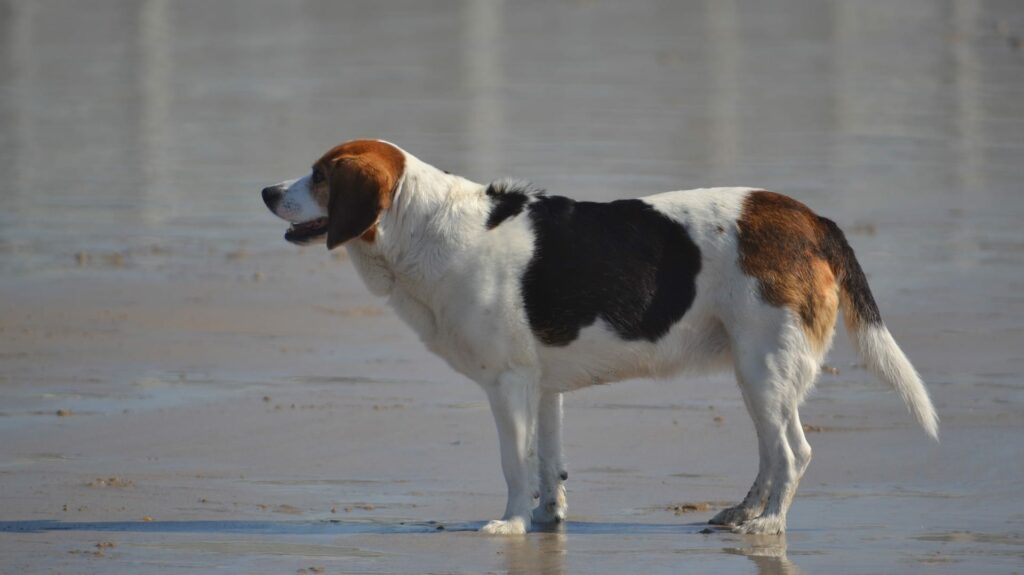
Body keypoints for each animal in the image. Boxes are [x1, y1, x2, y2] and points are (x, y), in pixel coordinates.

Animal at [262, 138, 937, 532]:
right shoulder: (543, 390)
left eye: (320, 176)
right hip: (760, 377)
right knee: (773, 455)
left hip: (764, 369)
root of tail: (810, 218)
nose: (266, 190)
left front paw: (509, 525)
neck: (427, 226)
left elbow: (514, 464)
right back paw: (743, 512)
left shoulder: (508, 387)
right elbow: (547, 463)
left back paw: (767, 525)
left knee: (794, 454)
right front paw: (546, 519)